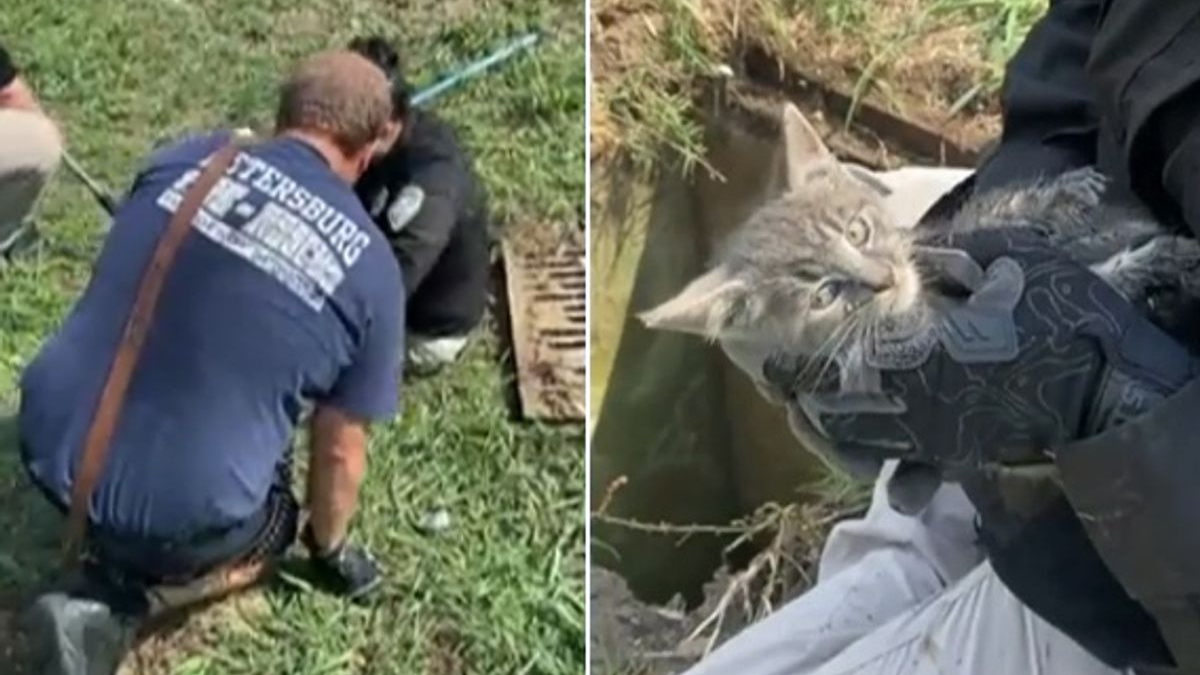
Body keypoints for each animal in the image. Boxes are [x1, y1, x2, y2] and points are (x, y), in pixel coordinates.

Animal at [643, 105, 1200, 485]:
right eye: (823, 295)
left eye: (858, 231)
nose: (883, 278)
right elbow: (1099, 286)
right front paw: (1149, 265)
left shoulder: (949, 240)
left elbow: (997, 222)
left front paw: (1057, 200)